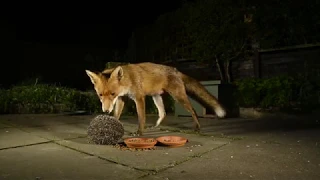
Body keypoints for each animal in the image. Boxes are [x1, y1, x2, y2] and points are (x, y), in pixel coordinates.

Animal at [84, 62, 225, 135]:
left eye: (112, 94)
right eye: (100, 95)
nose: (105, 111)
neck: (127, 80)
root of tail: (175, 70)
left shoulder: (139, 97)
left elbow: (141, 117)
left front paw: (140, 132)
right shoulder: (122, 99)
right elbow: (116, 115)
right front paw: (111, 125)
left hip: (178, 97)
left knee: (193, 111)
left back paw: (197, 127)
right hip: (156, 97)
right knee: (163, 113)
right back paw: (155, 126)